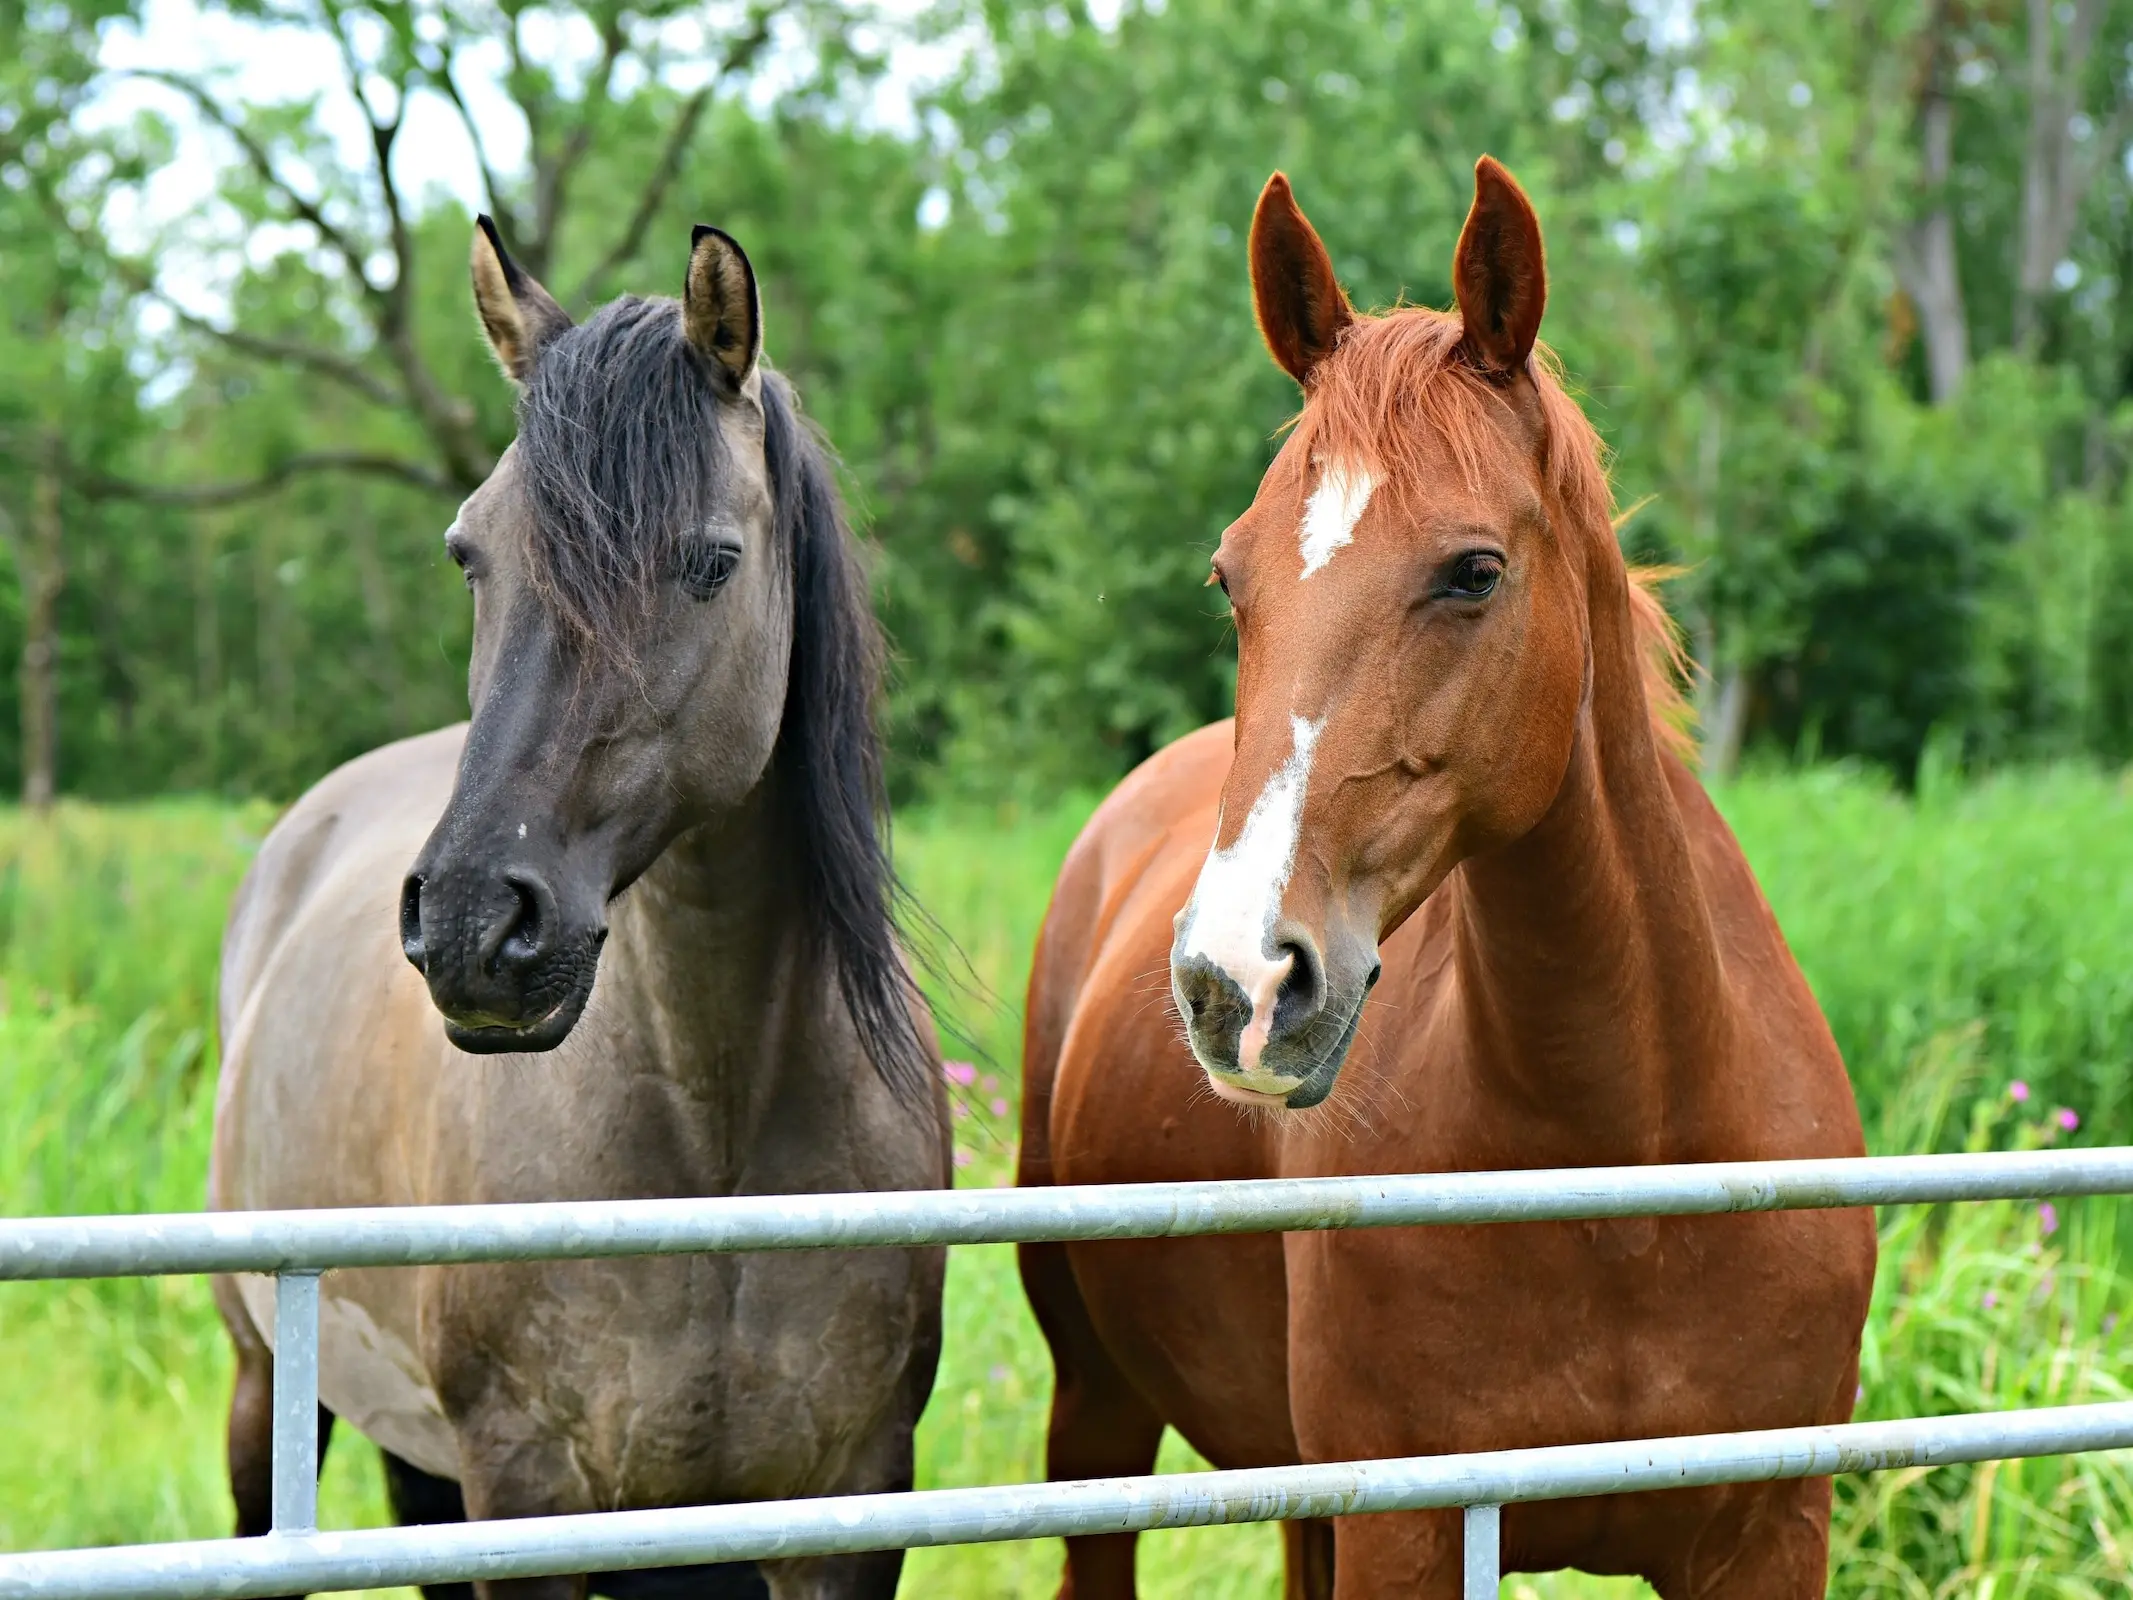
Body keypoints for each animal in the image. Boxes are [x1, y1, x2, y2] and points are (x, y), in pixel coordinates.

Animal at [210, 216, 951, 1600]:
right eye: (470, 552)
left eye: (712, 560)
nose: (470, 926)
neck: (712, 1136)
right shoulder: (527, 1492)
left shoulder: (849, 1501)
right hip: (264, 1388)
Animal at [1023, 163, 1877, 1600]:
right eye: (1229, 578)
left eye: (1474, 570)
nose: (1234, 980)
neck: (1628, 1168)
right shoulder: (1405, 1527)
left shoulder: (1770, 1530)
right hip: (1097, 1417)